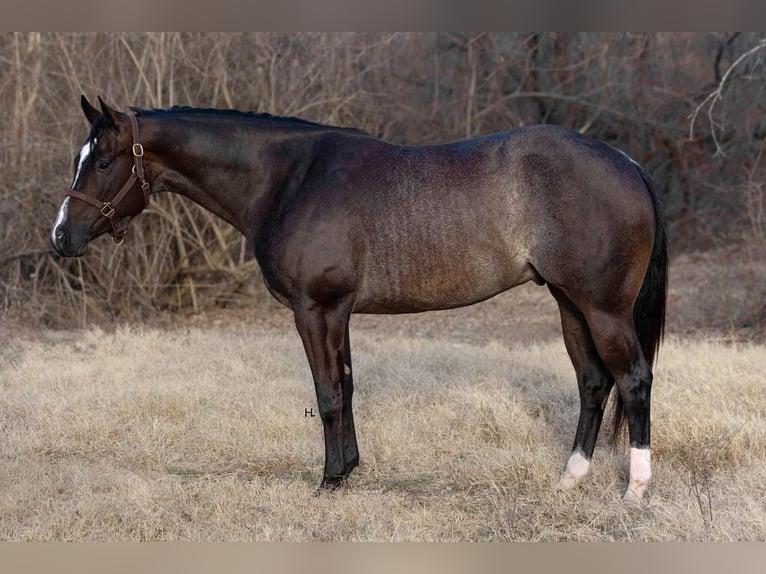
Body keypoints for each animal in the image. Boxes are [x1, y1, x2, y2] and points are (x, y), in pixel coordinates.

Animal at [50, 96, 667, 501]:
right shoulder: (338, 312)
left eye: (102, 160)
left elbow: (326, 394)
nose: (61, 236)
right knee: (593, 382)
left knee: (633, 378)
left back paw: (635, 490)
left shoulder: (314, 309)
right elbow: (345, 388)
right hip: (569, 303)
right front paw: (348, 470)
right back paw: (570, 478)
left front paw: (328, 481)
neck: (288, 179)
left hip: (603, 308)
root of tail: (629, 164)